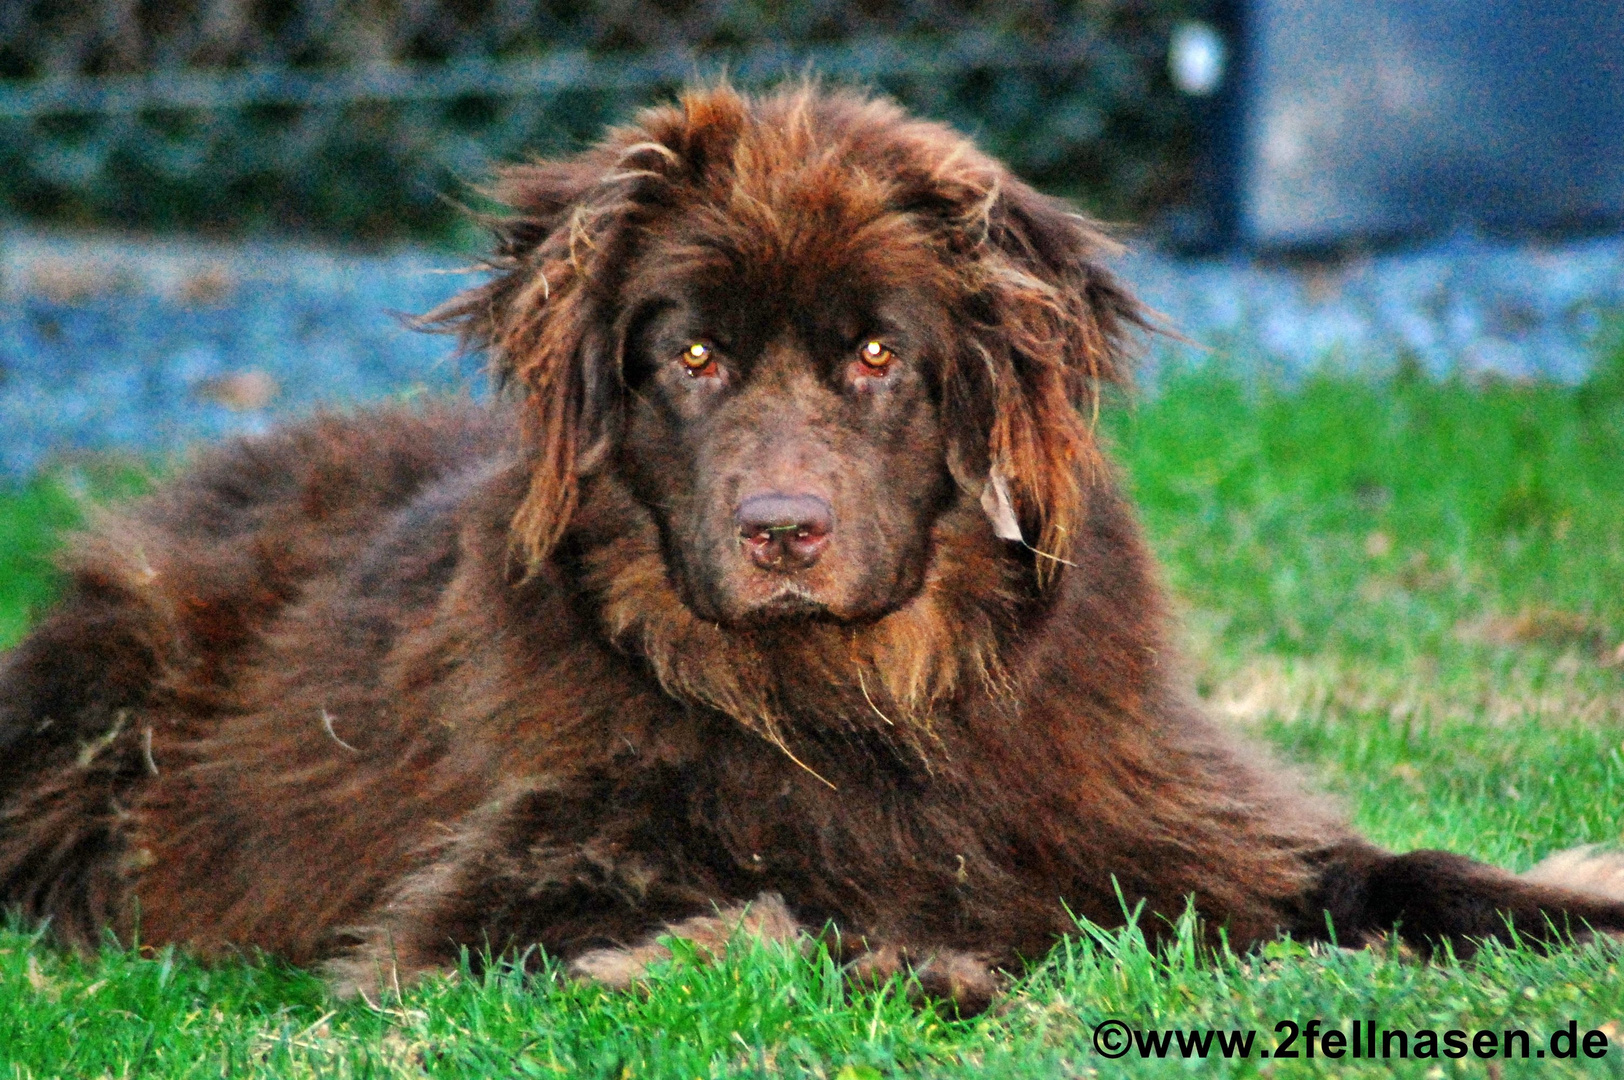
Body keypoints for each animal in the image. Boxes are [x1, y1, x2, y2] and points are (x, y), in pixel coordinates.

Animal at [3, 84, 1624, 1013]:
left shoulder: (1162, 808)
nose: (783, 529)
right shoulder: (482, 902)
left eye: (874, 357)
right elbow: (788, 908)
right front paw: (919, 958)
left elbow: (1405, 869)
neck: (857, 702)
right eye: (696, 357)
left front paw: (1573, 900)